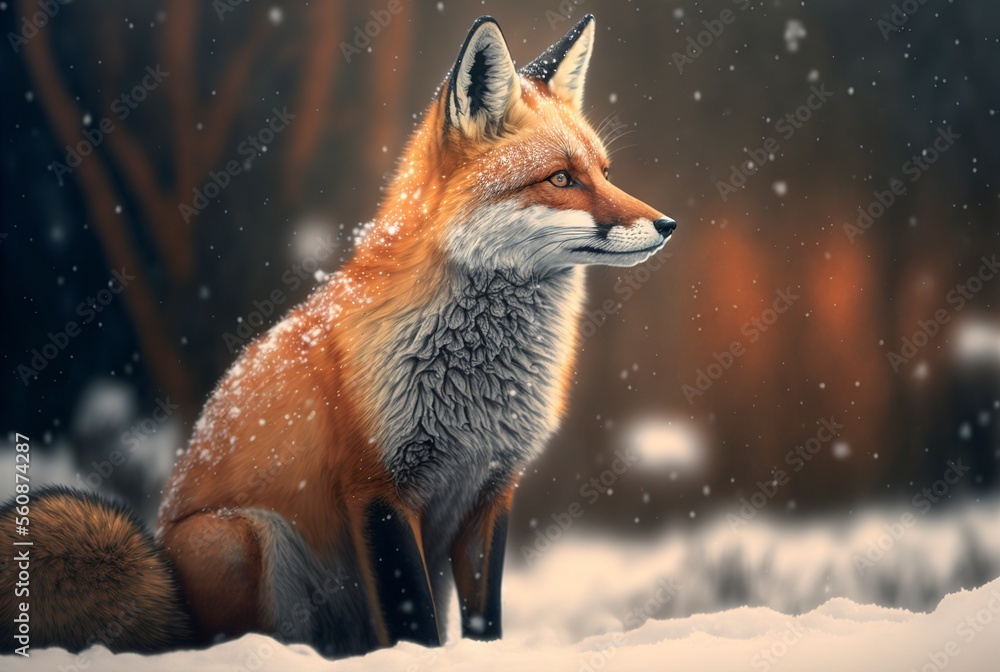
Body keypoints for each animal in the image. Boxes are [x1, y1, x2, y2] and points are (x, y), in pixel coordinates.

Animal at [1, 14, 675, 658]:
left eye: (604, 173)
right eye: (561, 179)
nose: (667, 224)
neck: (477, 389)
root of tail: (167, 587)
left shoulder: (490, 492)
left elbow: (486, 623)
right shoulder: (377, 488)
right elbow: (414, 624)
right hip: (241, 538)